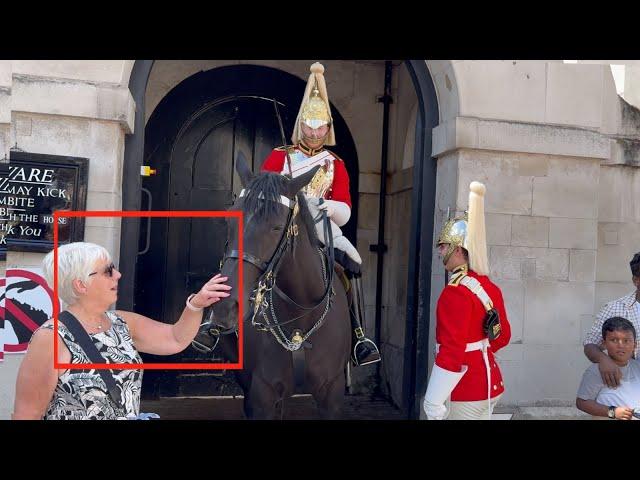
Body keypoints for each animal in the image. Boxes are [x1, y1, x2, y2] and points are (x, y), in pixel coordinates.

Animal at [204, 156, 350, 418]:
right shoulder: (262, 395)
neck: (301, 315)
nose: (224, 308)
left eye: (276, 226)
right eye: (229, 218)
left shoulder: (331, 394)